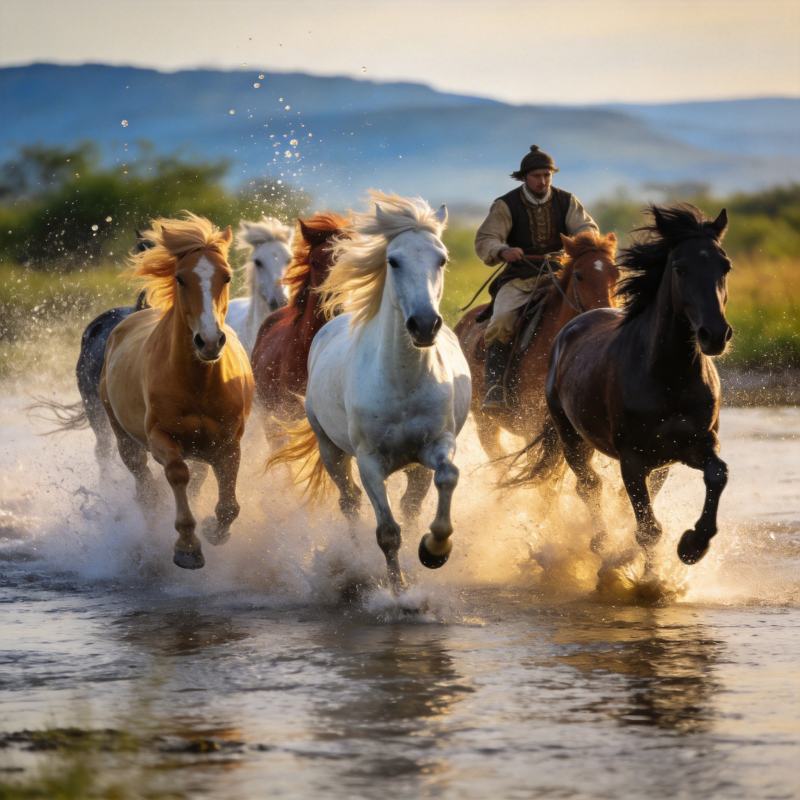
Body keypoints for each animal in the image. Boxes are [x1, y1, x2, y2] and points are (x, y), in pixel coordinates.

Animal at [100, 213, 254, 570]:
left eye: (227, 276)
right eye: (180, 278)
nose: (209, 341)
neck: (197, 384)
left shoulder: (228, 443)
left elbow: (229, 506)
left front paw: (214, 531)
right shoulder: (161, 437)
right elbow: (177, 474)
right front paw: (187, 547)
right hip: (123, 437)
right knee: (145, 488)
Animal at [267, 192, 471, 593]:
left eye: (441, 259)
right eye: (393, 260)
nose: (425, 324)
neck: (401, 381)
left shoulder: (437, 443)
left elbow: (447, 478)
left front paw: (434, 550)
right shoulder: (369, 461)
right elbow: (387, 532)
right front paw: (399, 592)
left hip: (414, 466)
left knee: (411, 503)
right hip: (331, 451)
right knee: (349, 502)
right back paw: (356, 559)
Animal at [509, 204, 732, 568]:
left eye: (725, 265)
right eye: (680, 268)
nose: (714, 334)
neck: (669, 377)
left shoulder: (697, 443)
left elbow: (717, 474)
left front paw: (692, 545)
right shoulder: (632, 458)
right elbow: (648, 530)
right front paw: (649, 576)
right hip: (571, 436)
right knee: (589, 484)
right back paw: (600, 541)